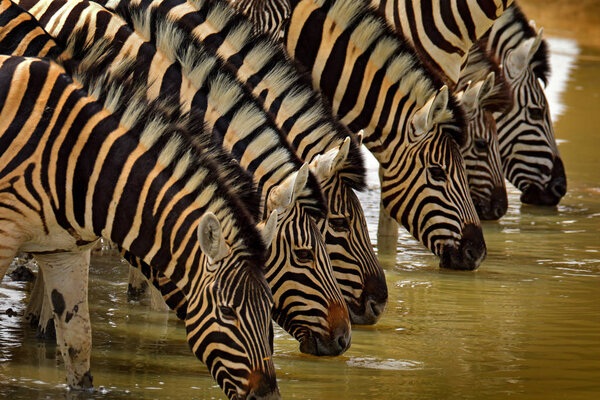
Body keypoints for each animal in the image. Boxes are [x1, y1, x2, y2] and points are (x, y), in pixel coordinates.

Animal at [0, 54, 278, 400]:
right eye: (227, 312)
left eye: (270, 307)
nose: (268, 396)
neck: (81, 161)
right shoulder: (5, 236)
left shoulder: (63, 252)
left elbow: (78, 344)